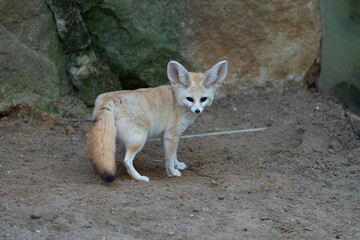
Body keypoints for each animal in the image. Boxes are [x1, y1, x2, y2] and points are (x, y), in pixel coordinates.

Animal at [87, 60, 228, 182]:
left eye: (203, 99)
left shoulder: (166, 136)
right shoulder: (171, 135)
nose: (197, 110)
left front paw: (177, 165)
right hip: (139, 139)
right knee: (126, 160)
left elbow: (174, 155)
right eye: (190, 99)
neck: (176, 100)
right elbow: (169, 158)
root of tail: (109, 98)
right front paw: (172, 173)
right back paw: (139, 178)